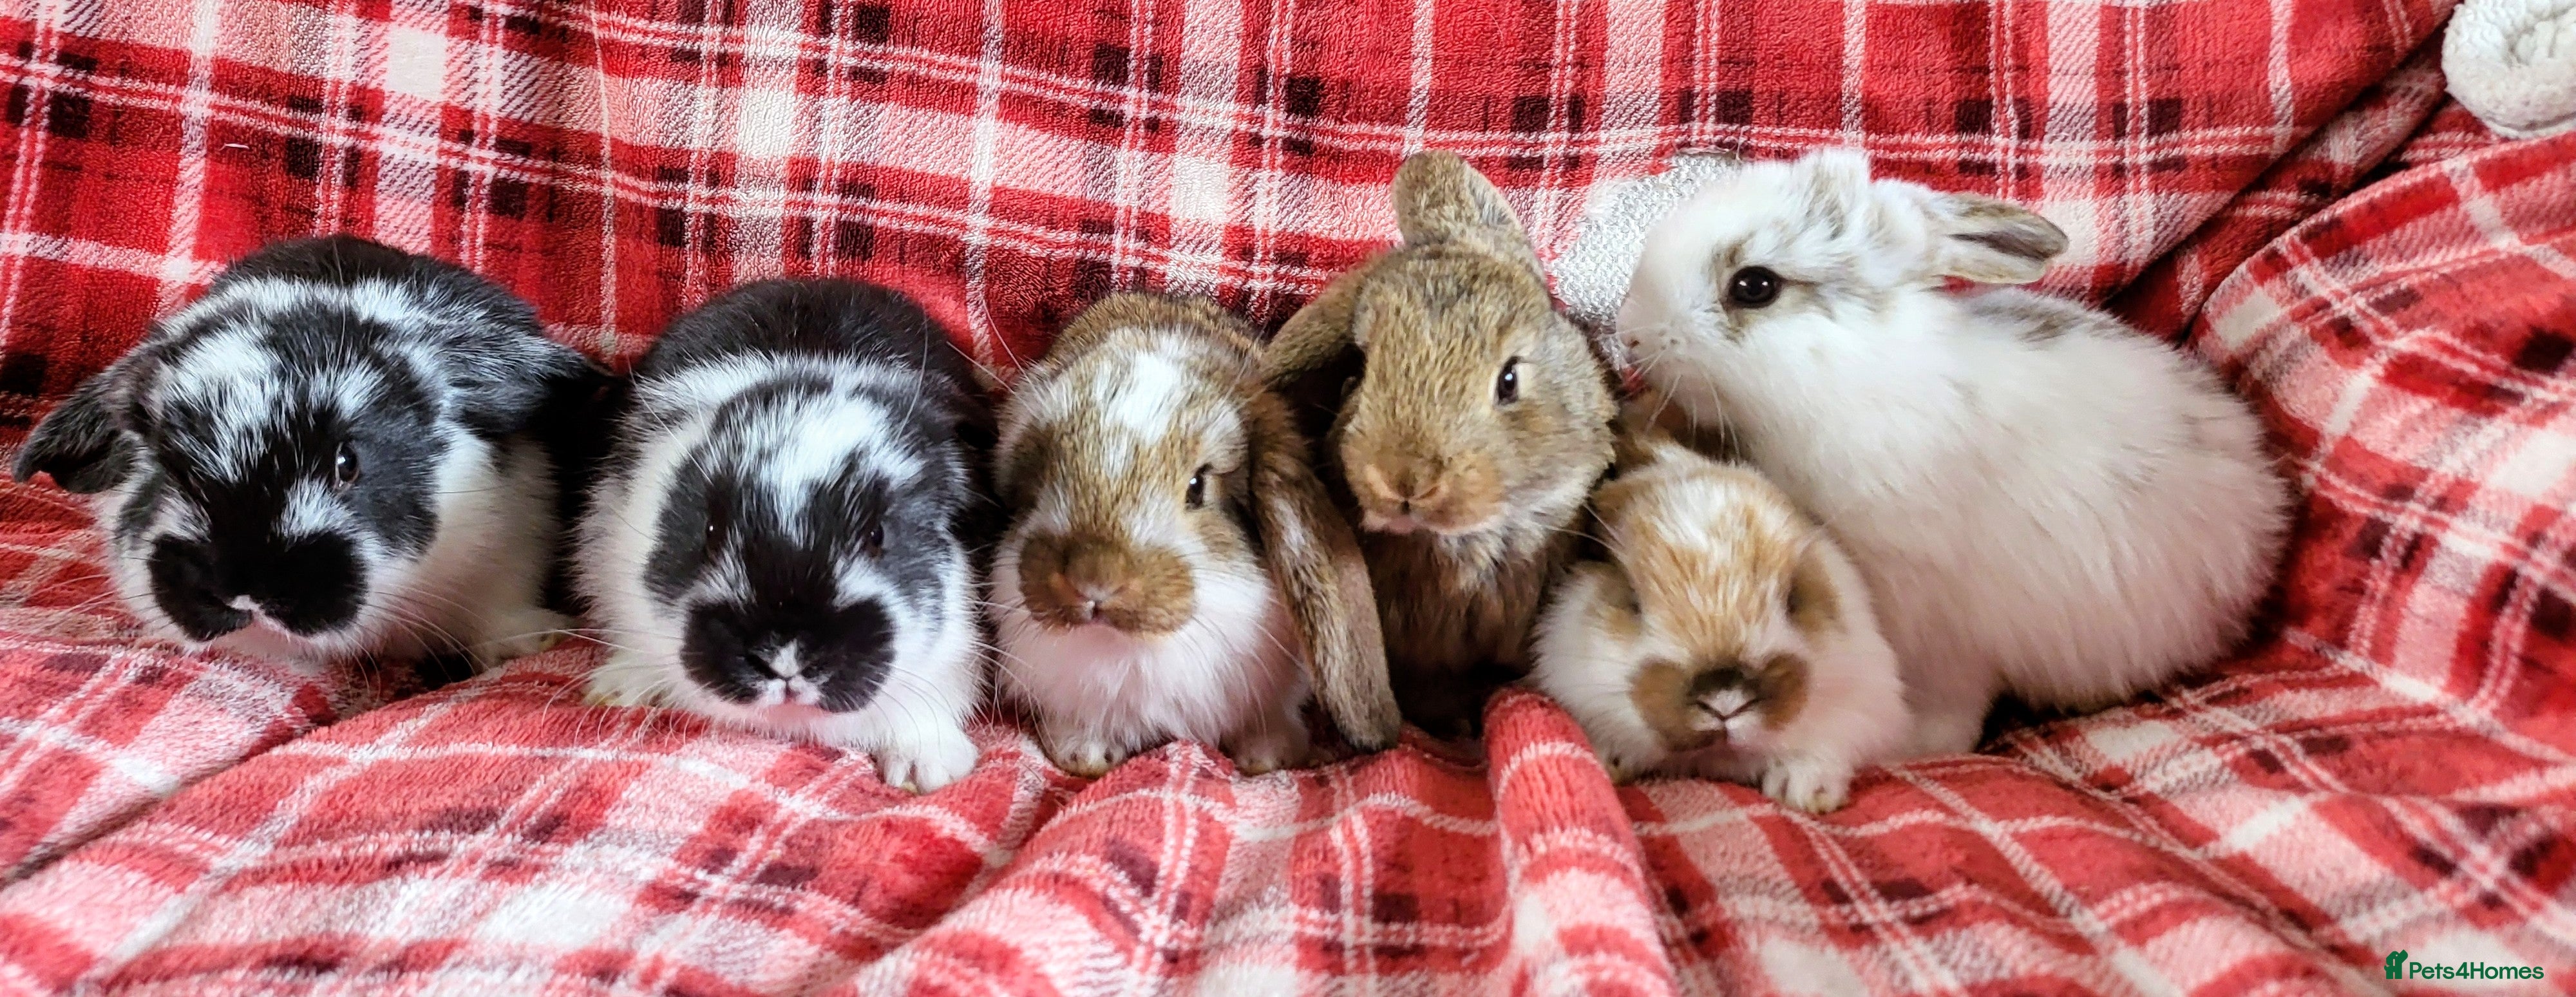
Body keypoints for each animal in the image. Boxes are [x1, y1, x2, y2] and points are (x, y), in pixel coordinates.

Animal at [10, 234, 598, 673]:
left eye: (347, 463)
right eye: (160, 469)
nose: (242, 592)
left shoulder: (514, 539)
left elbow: (498, 610)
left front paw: (532, 641)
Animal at [1614, 147, 2292, 758]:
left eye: (1754, 286)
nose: (1630, 337)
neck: (1854, 367)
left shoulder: (1937, 622)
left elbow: (1944, 701)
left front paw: (1914, 747)